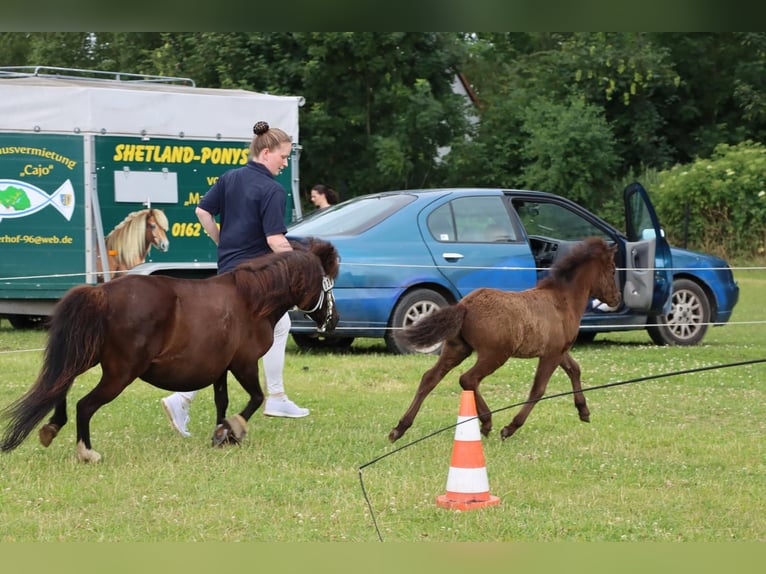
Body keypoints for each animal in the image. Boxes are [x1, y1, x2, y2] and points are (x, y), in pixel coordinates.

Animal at [0, 237, 340, 463]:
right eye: (329, 285)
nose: (333, 321)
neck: (251, 300)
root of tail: (101, 292)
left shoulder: (220, 368)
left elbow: (222, 401)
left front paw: (222, 435)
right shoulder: (244, 364)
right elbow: (255, 399)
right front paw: (234, 430)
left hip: (89, 356)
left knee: (61, 383)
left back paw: (52, 426)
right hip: (120, 373)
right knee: (84, 405)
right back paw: (87, 451)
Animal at [388, 236, 620, 443]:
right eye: (612, 270)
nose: (616, 299)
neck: (561, 301)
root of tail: (464, 305)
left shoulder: (559, 351)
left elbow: (575, 369)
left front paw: (584, 411)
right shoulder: (551, 354)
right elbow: (538, 389)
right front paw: (510, 428)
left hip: (457, 349)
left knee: (430, 378)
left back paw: (399, 429)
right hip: (495, 354)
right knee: (468, 379)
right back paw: (487, 422)